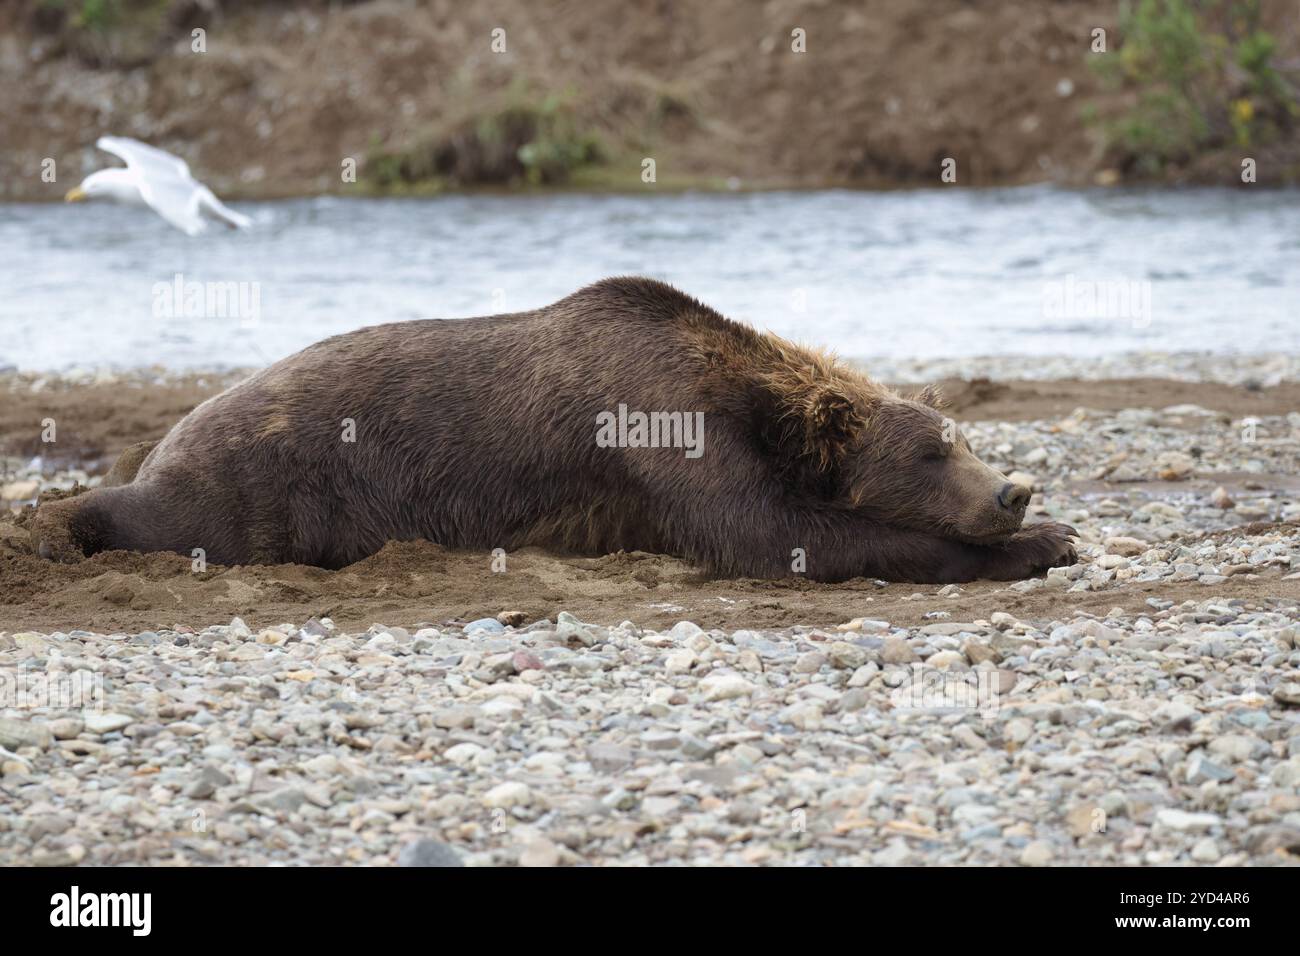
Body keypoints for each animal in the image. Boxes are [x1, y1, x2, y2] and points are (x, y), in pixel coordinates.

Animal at [32, 277, 1076, 582]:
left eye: (961, 434)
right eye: (934, 450)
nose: (1012, 488)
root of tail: (166, 441)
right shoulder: (662, 429)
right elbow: (778, 535)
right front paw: (1045, 542)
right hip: (259, 483)